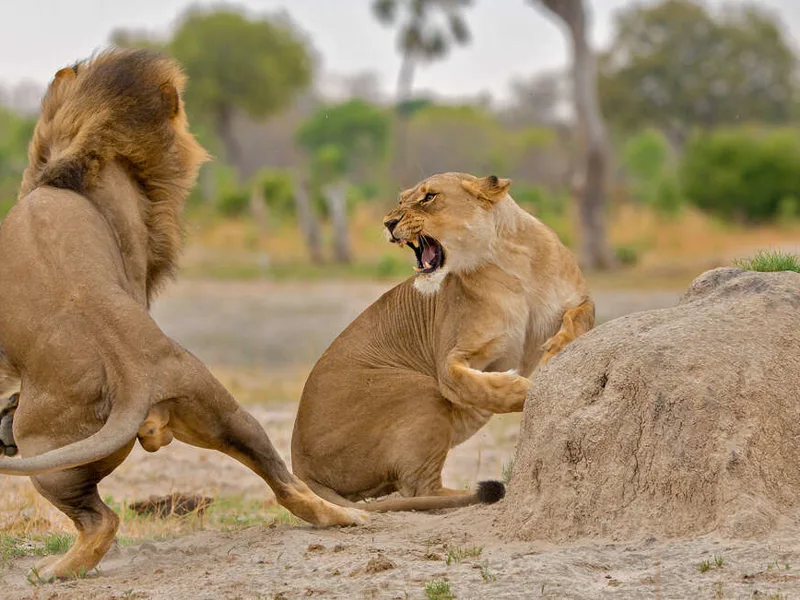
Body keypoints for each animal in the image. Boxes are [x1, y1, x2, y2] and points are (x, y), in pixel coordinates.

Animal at [0, 48, 364, 581]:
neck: (85, 151)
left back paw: (52, 572)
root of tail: (132, 375)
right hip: (223, 411)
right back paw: (347, 517)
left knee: (101, 522)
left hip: (46, 455)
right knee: (286, 482)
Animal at [291, 172, 594, 511]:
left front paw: (556, 350)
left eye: (429, 197)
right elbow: (469, 384)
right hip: (419, 389)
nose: (388, 223)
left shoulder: (579, 299)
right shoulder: (450, 357)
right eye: (401, 200)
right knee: (419, 489)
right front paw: (525, 388)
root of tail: (299, 463)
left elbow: (578, 317)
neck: (507, 262)